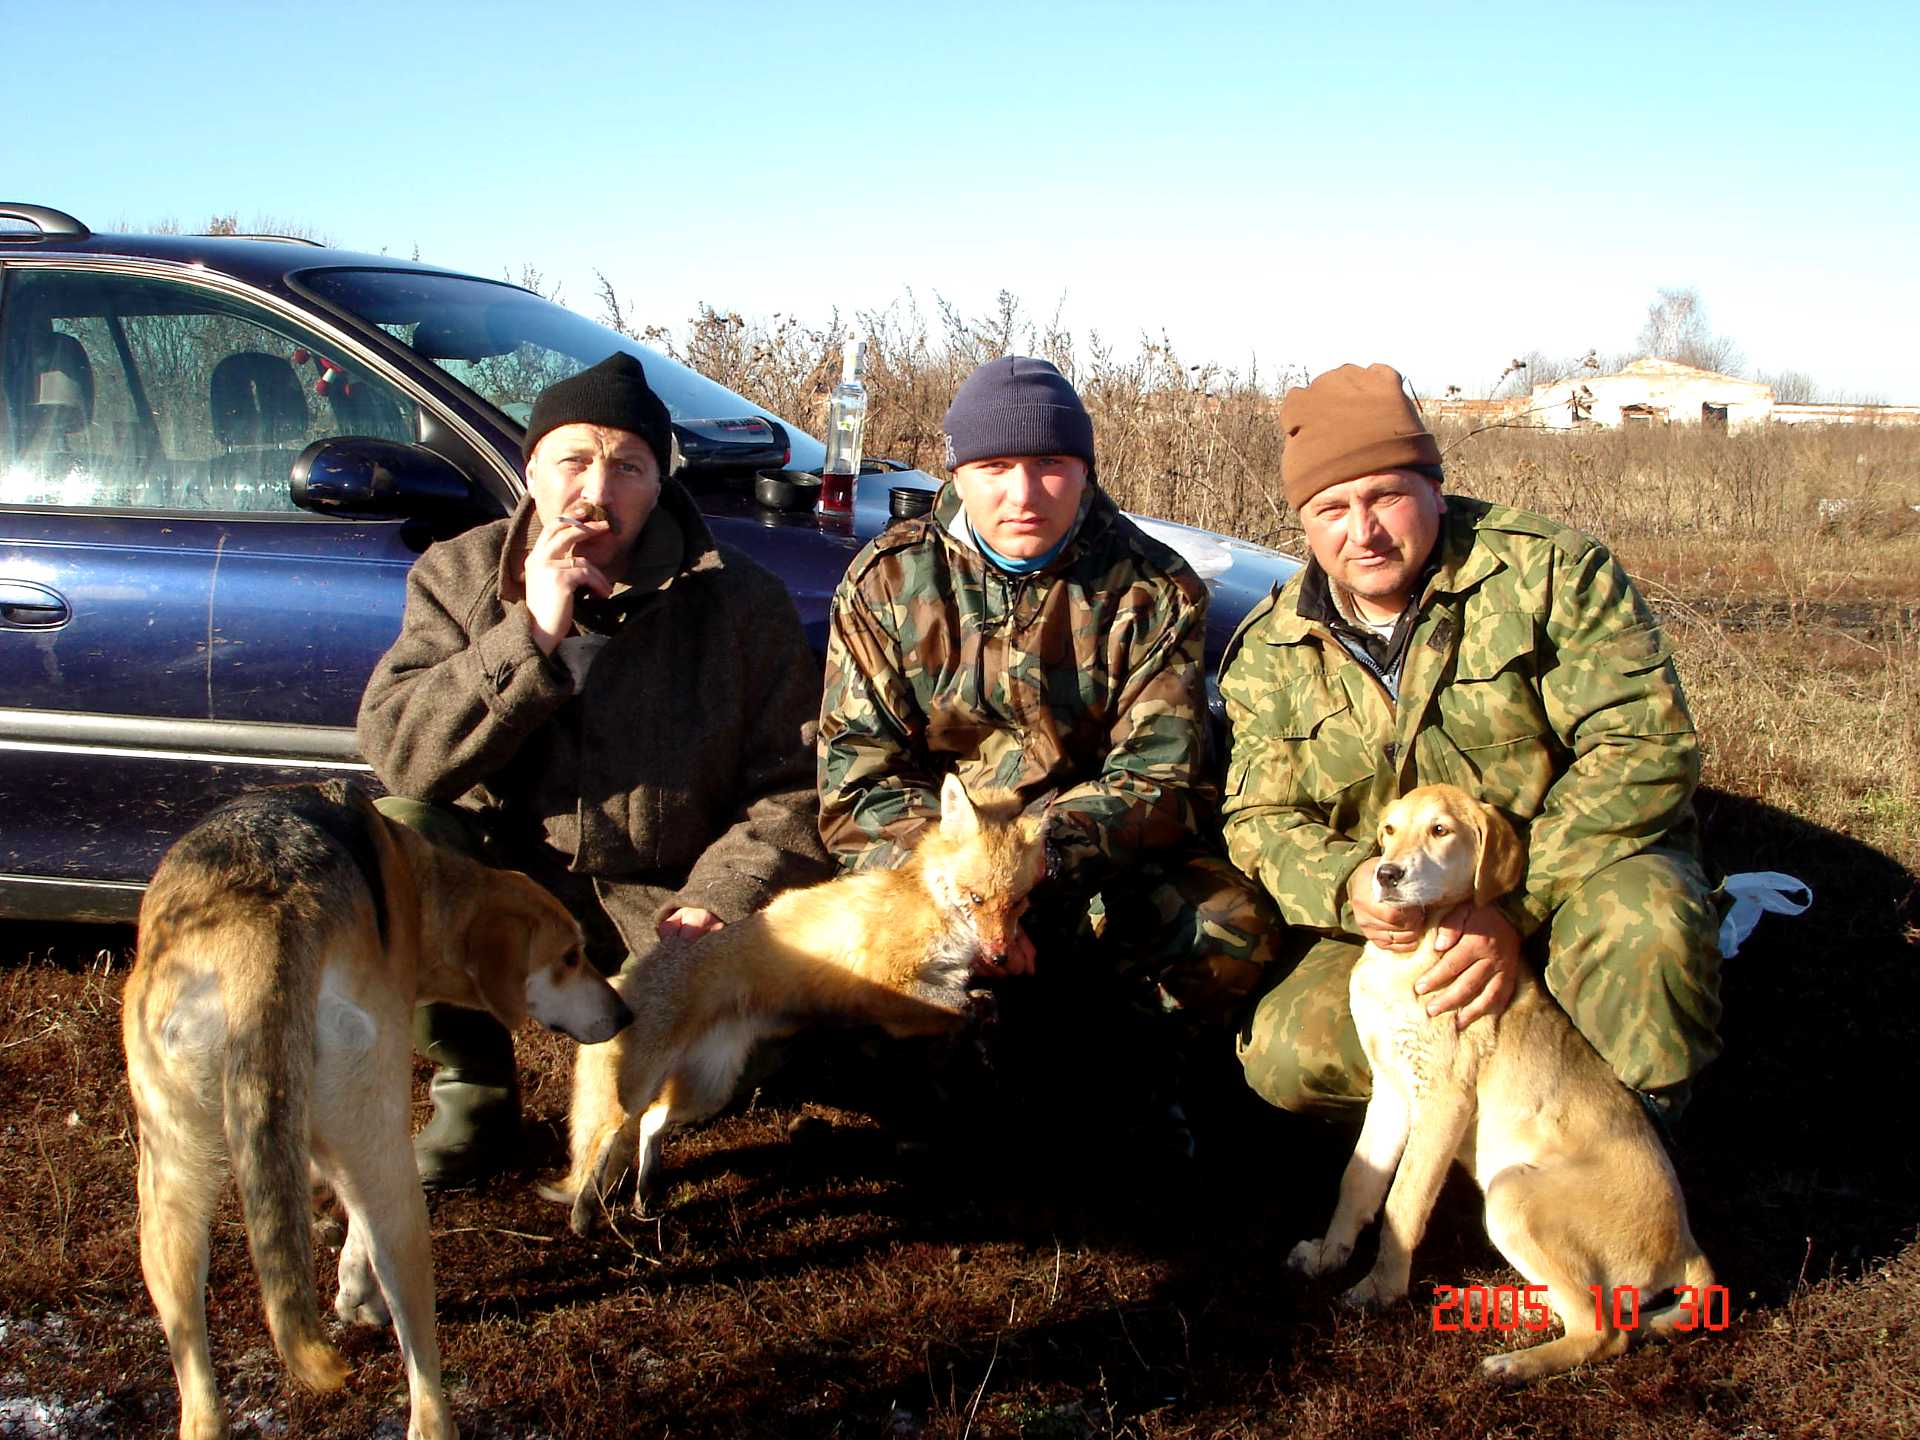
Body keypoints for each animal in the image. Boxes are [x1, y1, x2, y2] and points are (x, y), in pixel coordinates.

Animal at [541, 771, 1052, 1236]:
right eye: (976, 897)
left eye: (1018, 902)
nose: (999, 956)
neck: (931, 905)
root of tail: (621, 979)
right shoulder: (884, 985)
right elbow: (966, 1004)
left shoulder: (915, 1007)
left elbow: (978, 1007)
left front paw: (986, 1047)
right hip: (635, 1089)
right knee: (604, 1144)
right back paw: (585, 1217)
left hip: (709, 1089)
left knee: (651, 1123)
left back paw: (645, 1196)